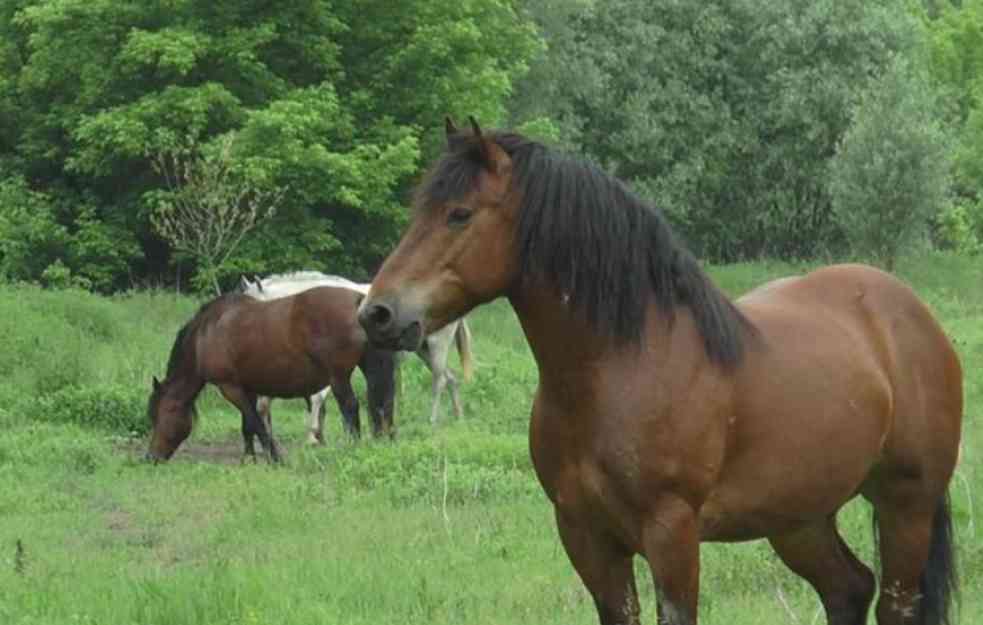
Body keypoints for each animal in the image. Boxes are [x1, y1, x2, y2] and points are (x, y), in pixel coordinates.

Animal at [145, 286, 396, 460]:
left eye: (160, 414)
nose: (151, 457)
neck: (207, 333)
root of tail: (358, 302)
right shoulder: (247, 387)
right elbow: (247, 425)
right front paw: (249, 459)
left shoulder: (230, 387)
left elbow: (255, 423)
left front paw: (275, 458)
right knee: (383, 407)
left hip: (338, 378)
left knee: (351, 408)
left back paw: (353, 448)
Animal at [360, 118, 960, 624]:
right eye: (418, 210)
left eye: (459, 213)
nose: (377, 313)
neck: (620, 368)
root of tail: (909, 312)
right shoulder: (586, 536)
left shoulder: (672, 534)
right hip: (800, 518)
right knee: (848, 589)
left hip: (906, 504)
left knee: (894, 605)